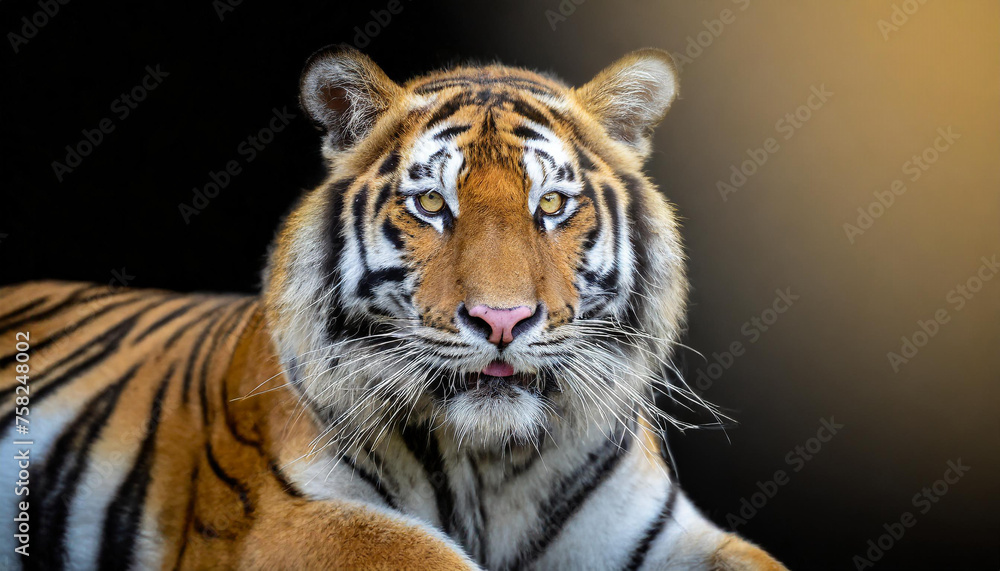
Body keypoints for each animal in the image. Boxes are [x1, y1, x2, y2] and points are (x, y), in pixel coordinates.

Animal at [0, 45, 788, 570]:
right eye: (432, 205)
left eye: (552, 206)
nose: (502, 321)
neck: (490, 466)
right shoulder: (290, 516)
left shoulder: (664, 531)